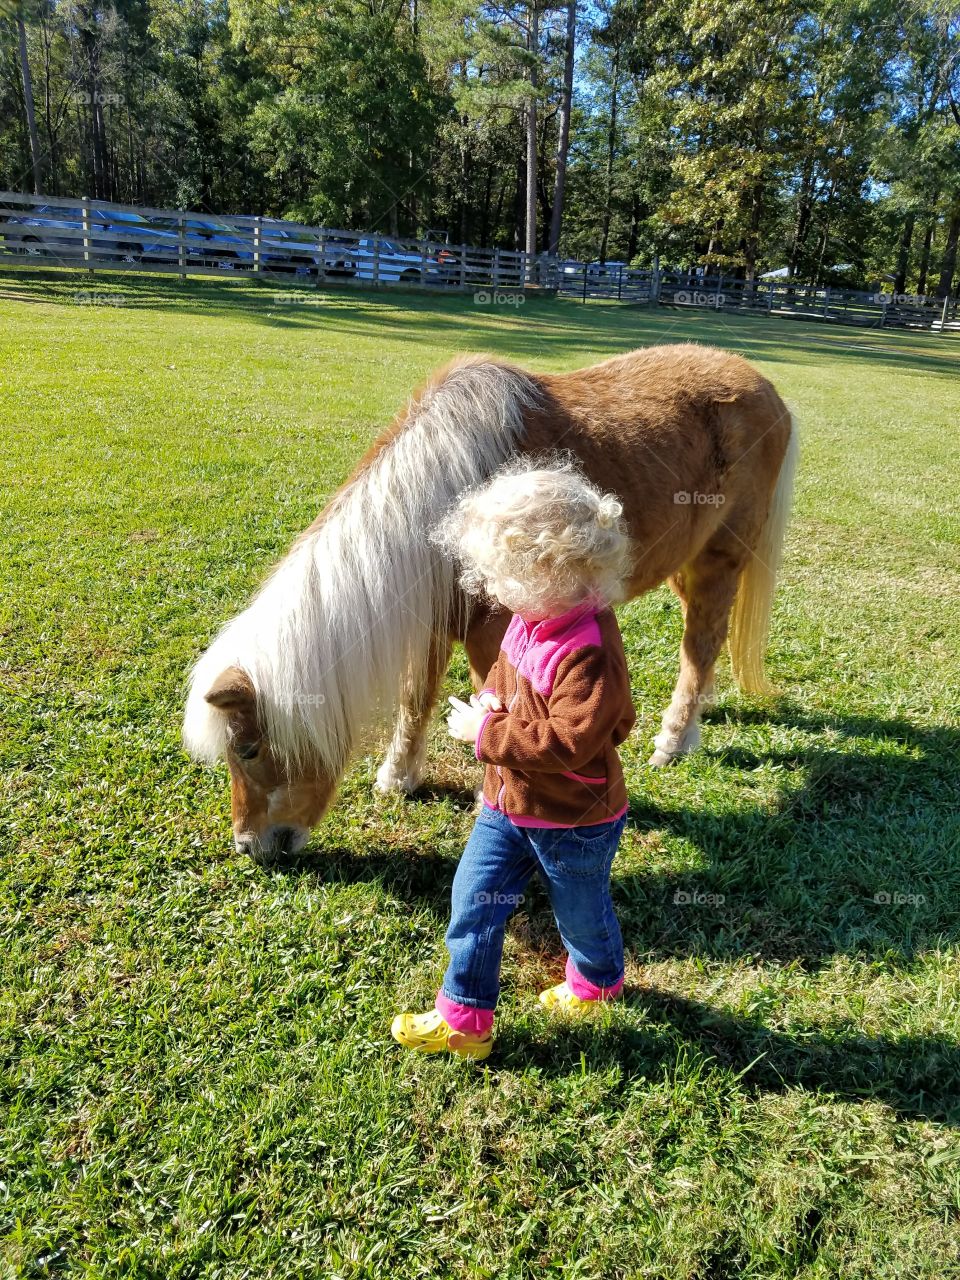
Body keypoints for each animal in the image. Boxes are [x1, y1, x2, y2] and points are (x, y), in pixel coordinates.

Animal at [184, 343, 798, 860]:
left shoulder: (494, 633)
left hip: (721, 560)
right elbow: (415, 698)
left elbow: (503, 713)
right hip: (685, 566)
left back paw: (673, 740)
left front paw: (496, 800)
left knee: (701, 644)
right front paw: (397, 778)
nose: (251, 846)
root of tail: (766, 388)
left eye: (248, 750)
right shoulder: (431, 619)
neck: (445, 495)